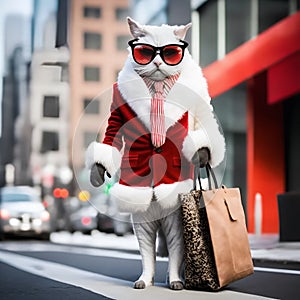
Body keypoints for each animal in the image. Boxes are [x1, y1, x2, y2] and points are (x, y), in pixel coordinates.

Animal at [85, 17, 225, 290]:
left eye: (170, 52)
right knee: (148, 249)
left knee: (174, 247)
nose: (158, 62)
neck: (158, 88)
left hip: (173, 214)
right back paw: (146, 279)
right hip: (143, 213)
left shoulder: (200, 106)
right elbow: (111, 134)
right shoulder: (116, 115)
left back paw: (176, 279)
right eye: (145, 52)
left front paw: (202, 154)